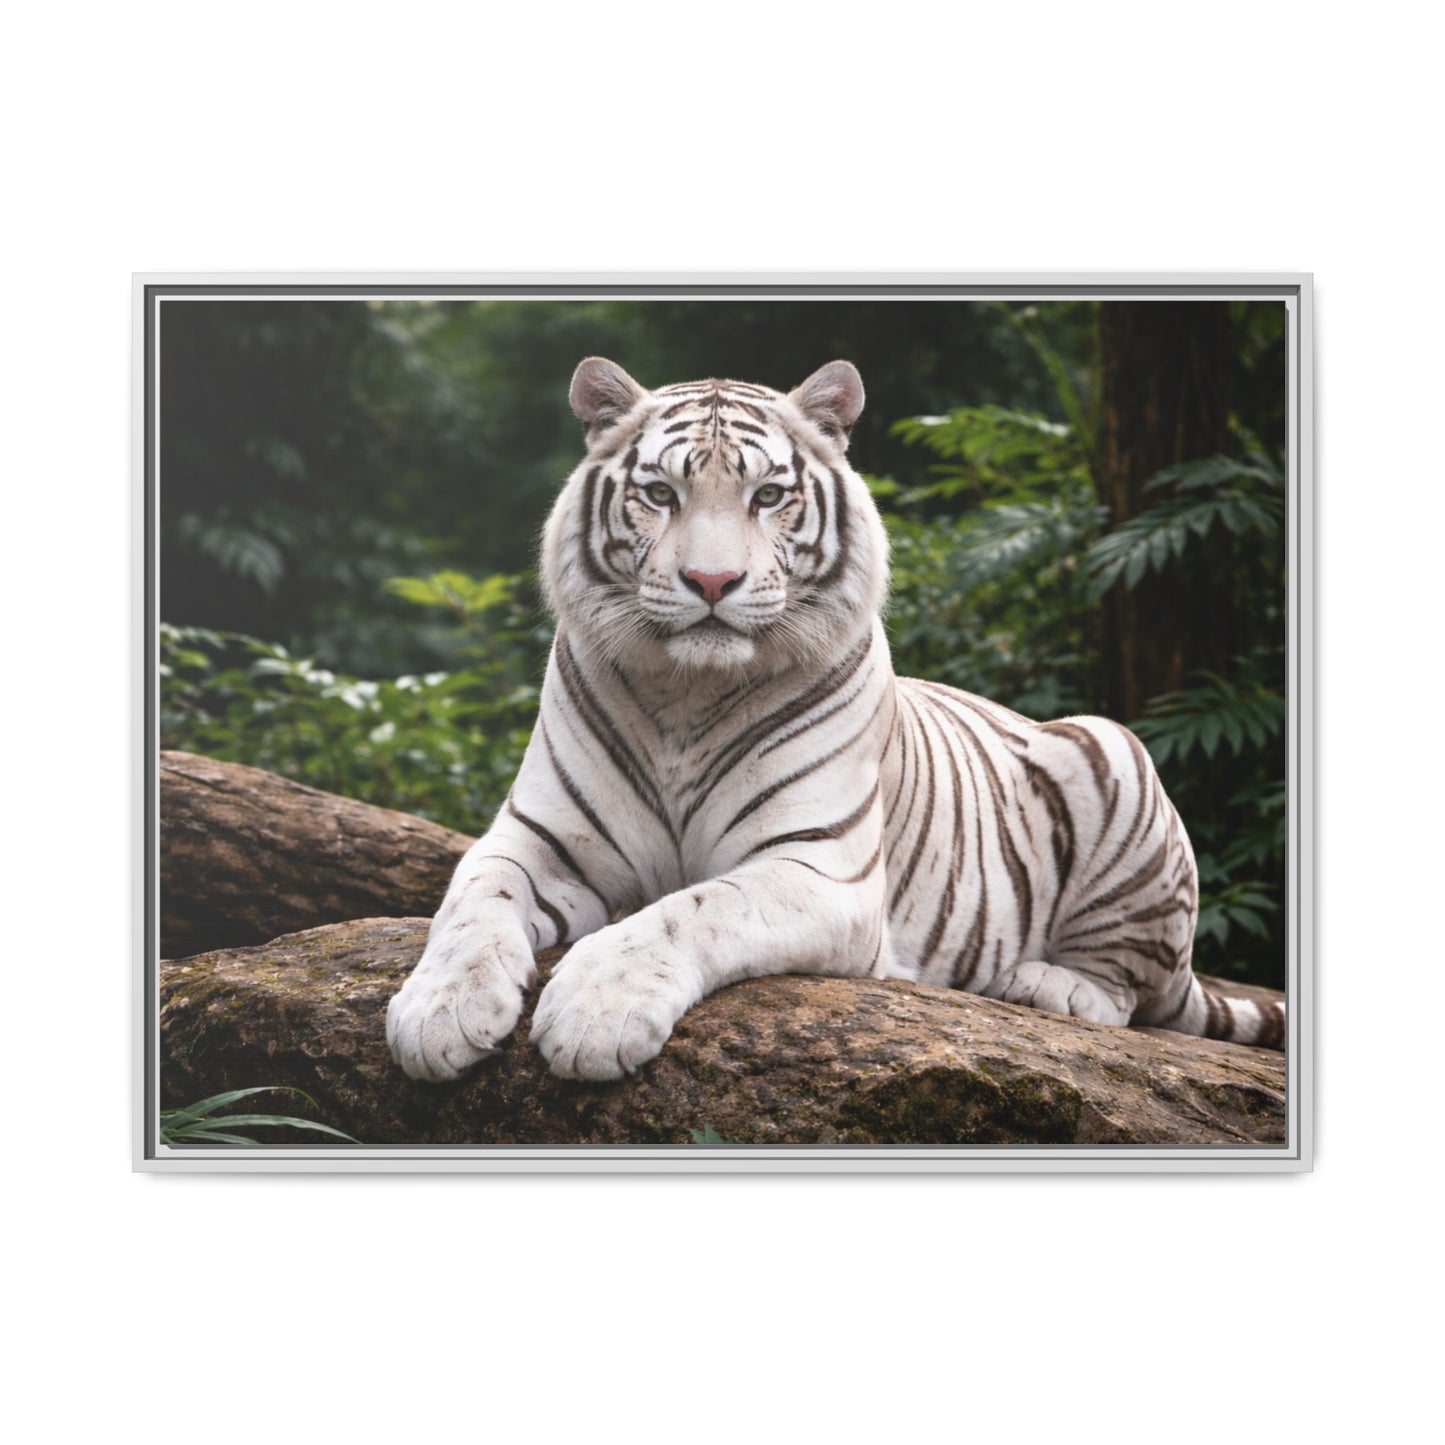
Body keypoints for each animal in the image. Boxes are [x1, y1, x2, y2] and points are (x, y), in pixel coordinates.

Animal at [386, 357, 1286, 1084]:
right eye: (660, 493)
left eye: (768, 495)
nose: (710, 581)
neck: (686, 696)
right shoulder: (535, 837)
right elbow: (472, 903)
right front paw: (436, 1013)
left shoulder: (817, 866)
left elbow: (689, 908)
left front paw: (594, 1013)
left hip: (1111, 750)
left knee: (1131, 991)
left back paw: (1045, 984)